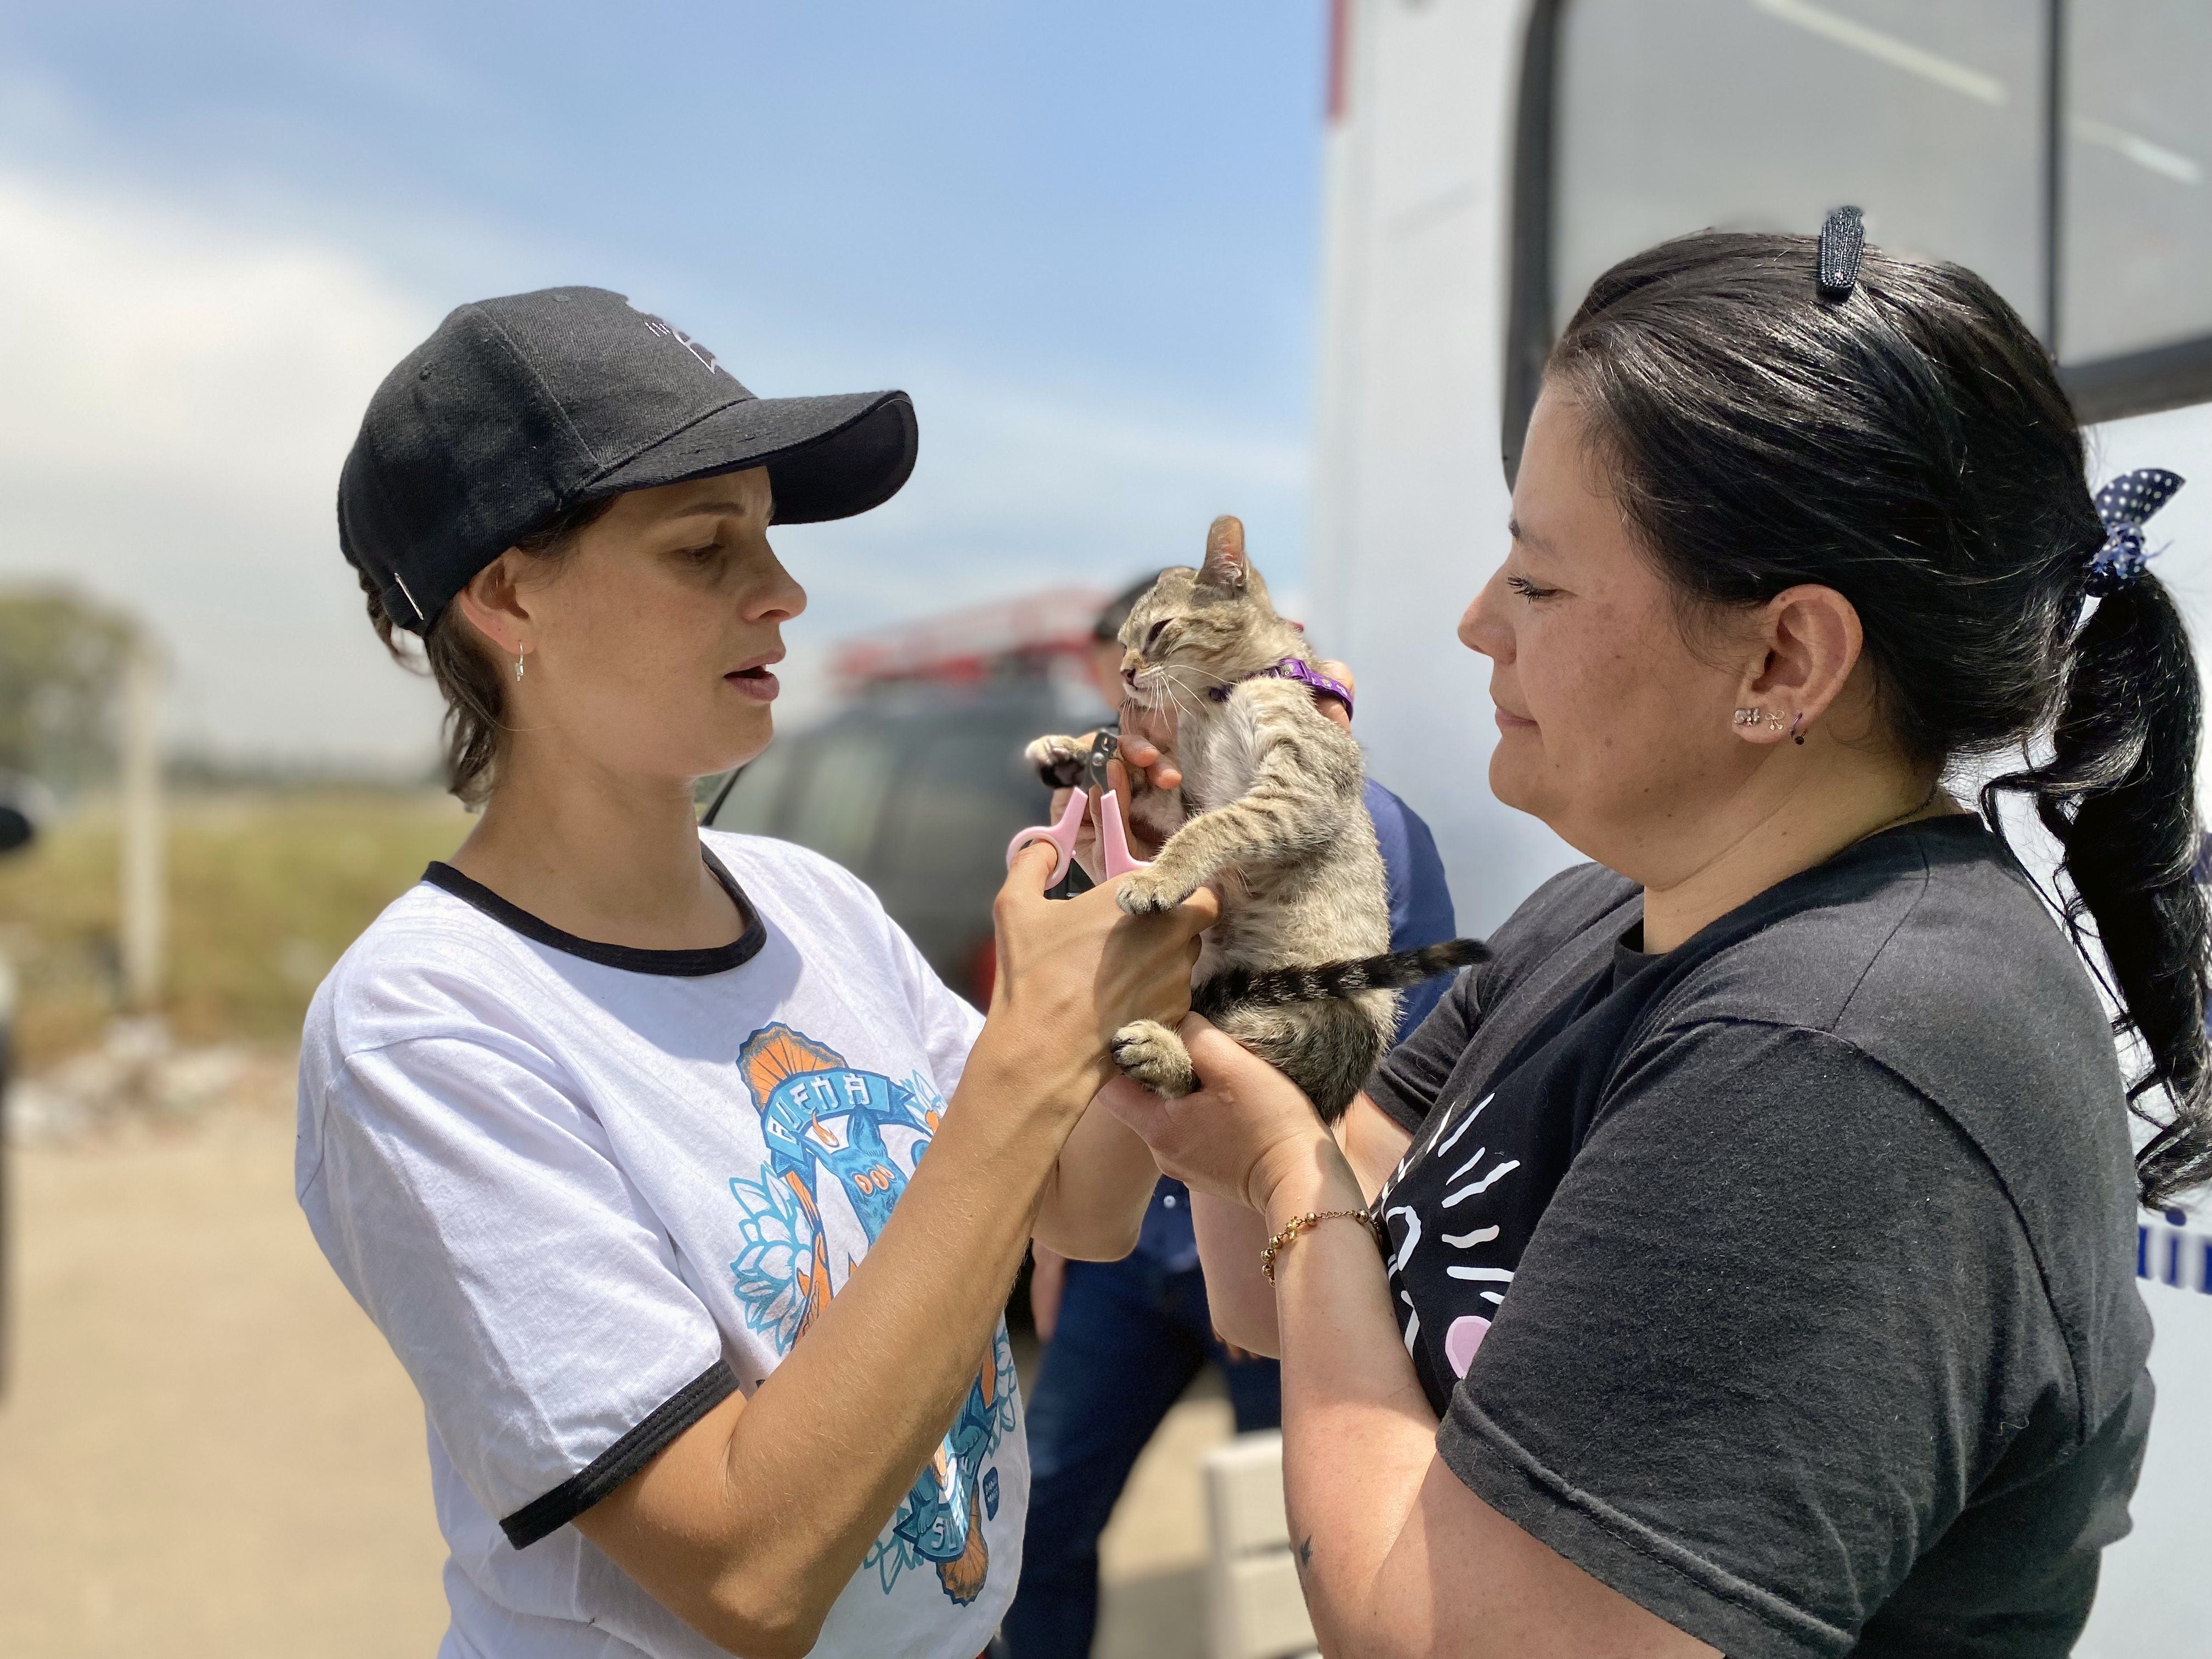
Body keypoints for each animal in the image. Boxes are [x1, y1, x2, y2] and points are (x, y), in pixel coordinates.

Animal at [1022, 513, 1486, 1124]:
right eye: (1122, 643)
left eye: (1159, 630)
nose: (1124, 672)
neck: (1219, 698)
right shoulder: (1186, 794)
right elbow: (1154, 795)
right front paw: (1068, 751)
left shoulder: (1297, 791)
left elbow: (1211, 828)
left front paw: (1156, 877)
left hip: (1320, 1023)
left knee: (1235, 1056)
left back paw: (1161, 1052)